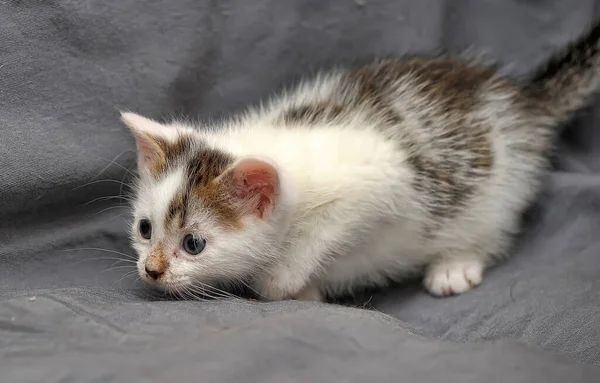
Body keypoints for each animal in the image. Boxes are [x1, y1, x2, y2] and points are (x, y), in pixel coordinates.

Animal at [122, 20, 600, 304]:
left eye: (193, 244)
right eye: (145, 229)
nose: (152, 270)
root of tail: (522, 100)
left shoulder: (383, 176)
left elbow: (322, 230)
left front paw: (280, 280)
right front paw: (306, 291)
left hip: (496, 189)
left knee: (493, 227)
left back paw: (456, 265)